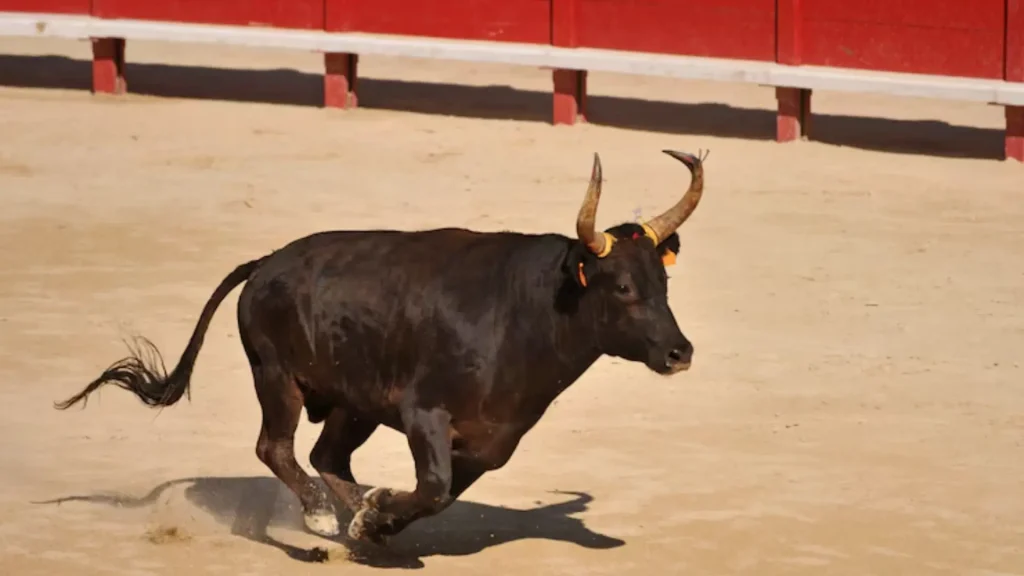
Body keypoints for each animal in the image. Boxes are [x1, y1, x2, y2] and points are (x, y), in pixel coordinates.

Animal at [54, 148, 709, 546]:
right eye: (622, 287)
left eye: (663, 283)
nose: (680, 353)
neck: (529, 311)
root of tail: (265, 263)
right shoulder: (424, 413)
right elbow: (435, 485)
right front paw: (372, 514)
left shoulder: (492, 441)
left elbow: (440, 493)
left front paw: (377, 518)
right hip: (278, 377)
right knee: (276, 448)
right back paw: (321, 517)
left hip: (353, 402)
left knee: (325, 455)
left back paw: (354, 512)